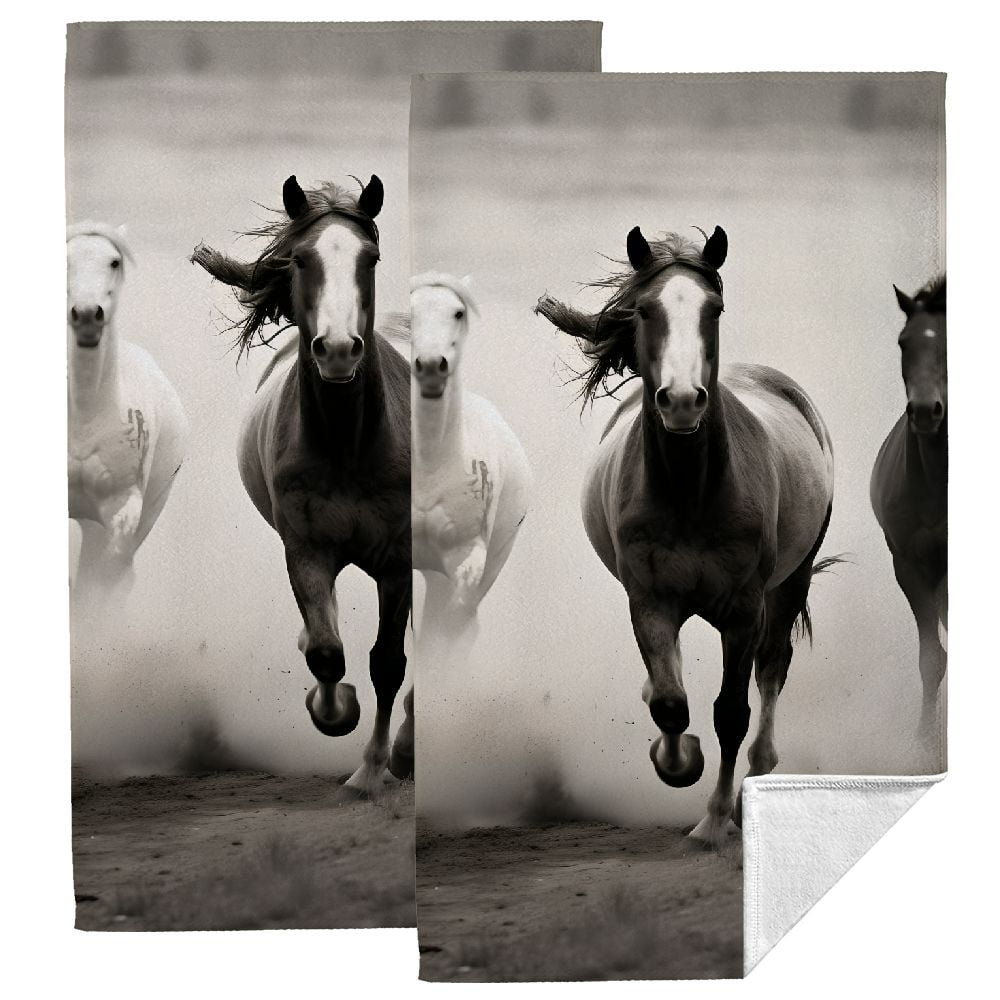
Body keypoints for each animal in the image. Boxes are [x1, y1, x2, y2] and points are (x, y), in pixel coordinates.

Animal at [191, 176, 412, 796]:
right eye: (301, 258)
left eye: (370, 256)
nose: (337, 350)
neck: (347, 447)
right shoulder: (306, 550)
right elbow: (326, 653)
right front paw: (333, 710)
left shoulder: (398, 561)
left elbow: (387, 662)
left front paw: (370, 770)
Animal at [536, 227, 837, 848]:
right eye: (645, 309)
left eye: (713, 307)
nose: (679, 400)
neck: (691, 494)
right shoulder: (650, 601)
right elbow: (672, 705)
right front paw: (677, 761)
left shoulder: (744, 611)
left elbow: (731, 713)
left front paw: (714, 819)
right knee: (670, 680)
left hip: (790, 581)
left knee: (773, 669)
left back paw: (757, 779)